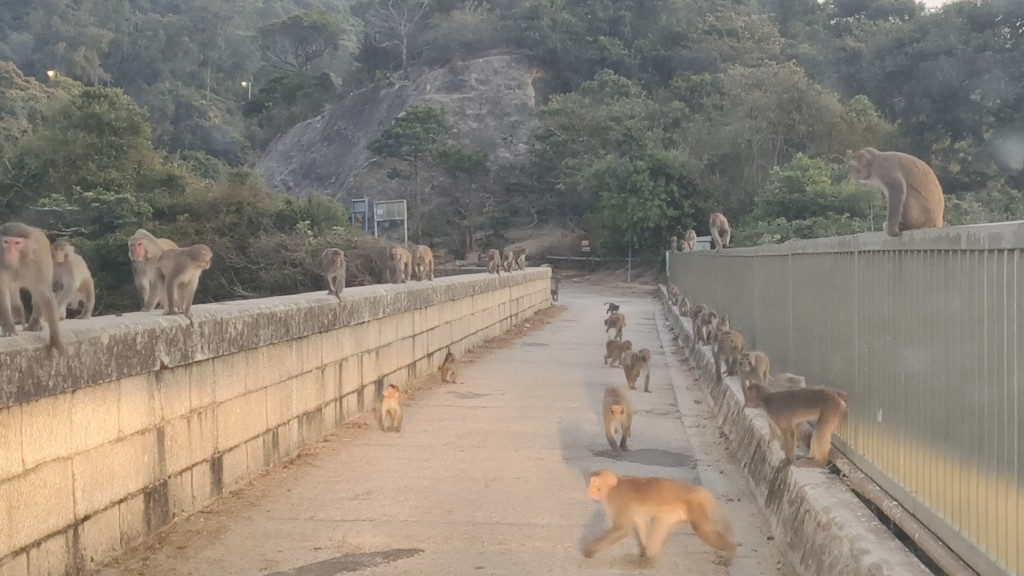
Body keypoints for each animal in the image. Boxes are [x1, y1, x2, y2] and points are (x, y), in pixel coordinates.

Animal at [585, 469, 737, 561]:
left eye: (594, 482)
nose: (589, 489)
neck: (614, 487)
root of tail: (697, 490)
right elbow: (640, 522)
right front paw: (644, 551)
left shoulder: (617, 500)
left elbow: (621, 530)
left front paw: (590, 551)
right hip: (678, 512)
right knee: (663, 523)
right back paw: (650, 557)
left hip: (695, 506)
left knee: (703, 530)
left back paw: (730, 550)